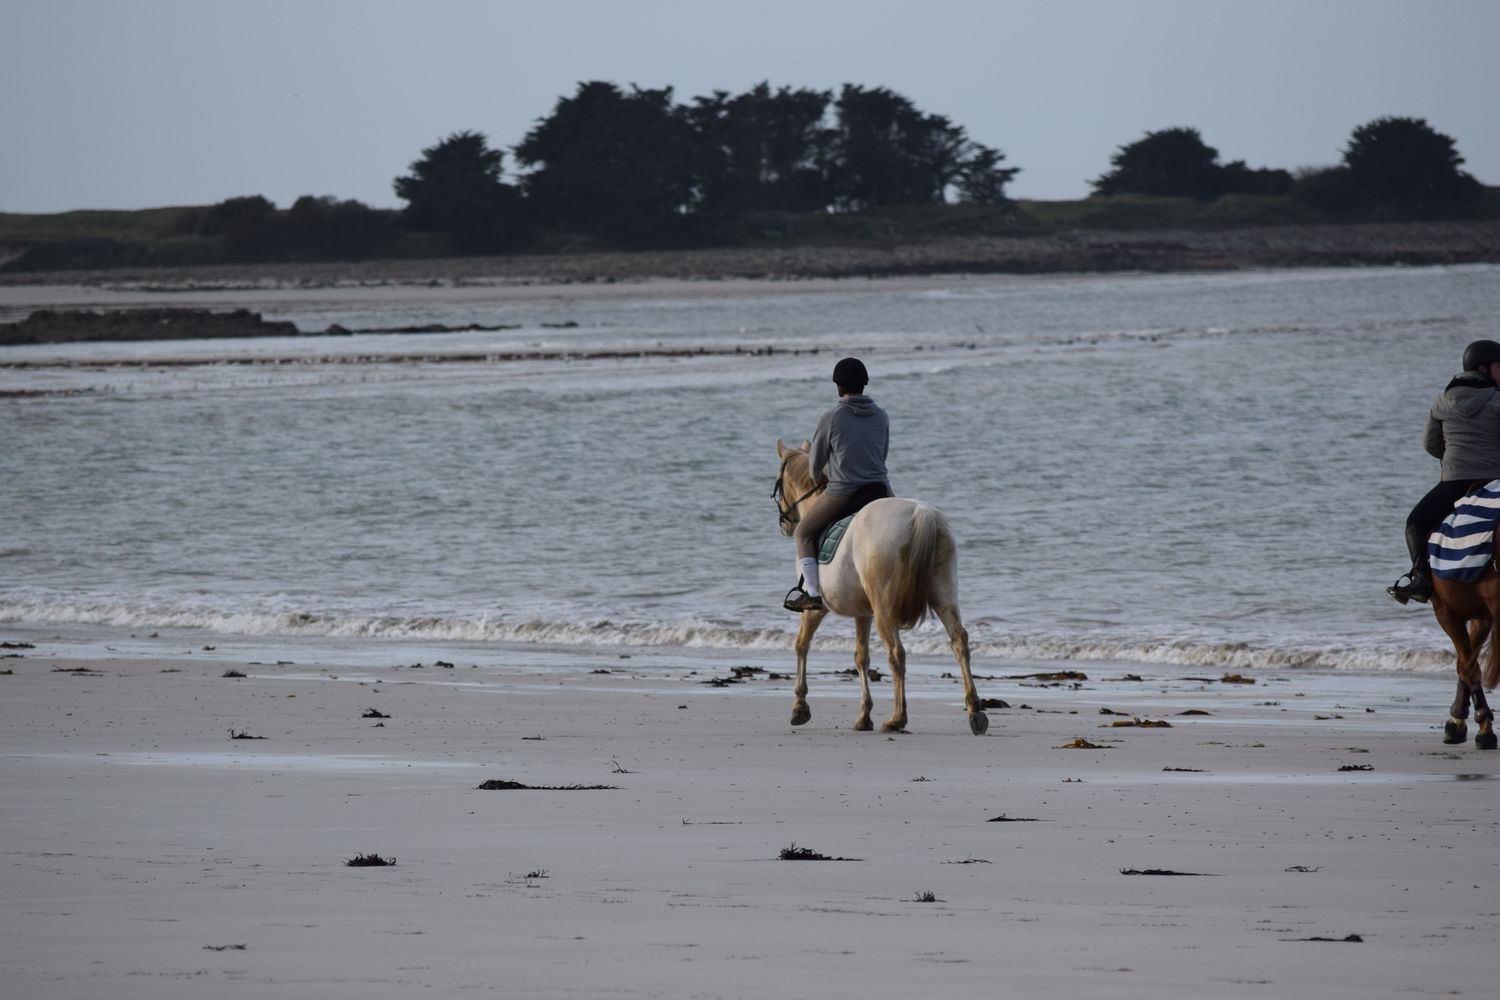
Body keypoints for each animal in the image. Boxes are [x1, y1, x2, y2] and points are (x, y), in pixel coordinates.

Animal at [774, 440, 984, 734]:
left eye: (778, 482)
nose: (784, 524)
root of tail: (921, 513)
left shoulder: (816, 608)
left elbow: (801, 645)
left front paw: (800, 707)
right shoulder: (863, 612)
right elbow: (861, 657)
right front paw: (864, 716)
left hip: (885, 610)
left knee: (896, 653)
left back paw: (897, 718)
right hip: (943, 596)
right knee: (959, 642)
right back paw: (975, 712)